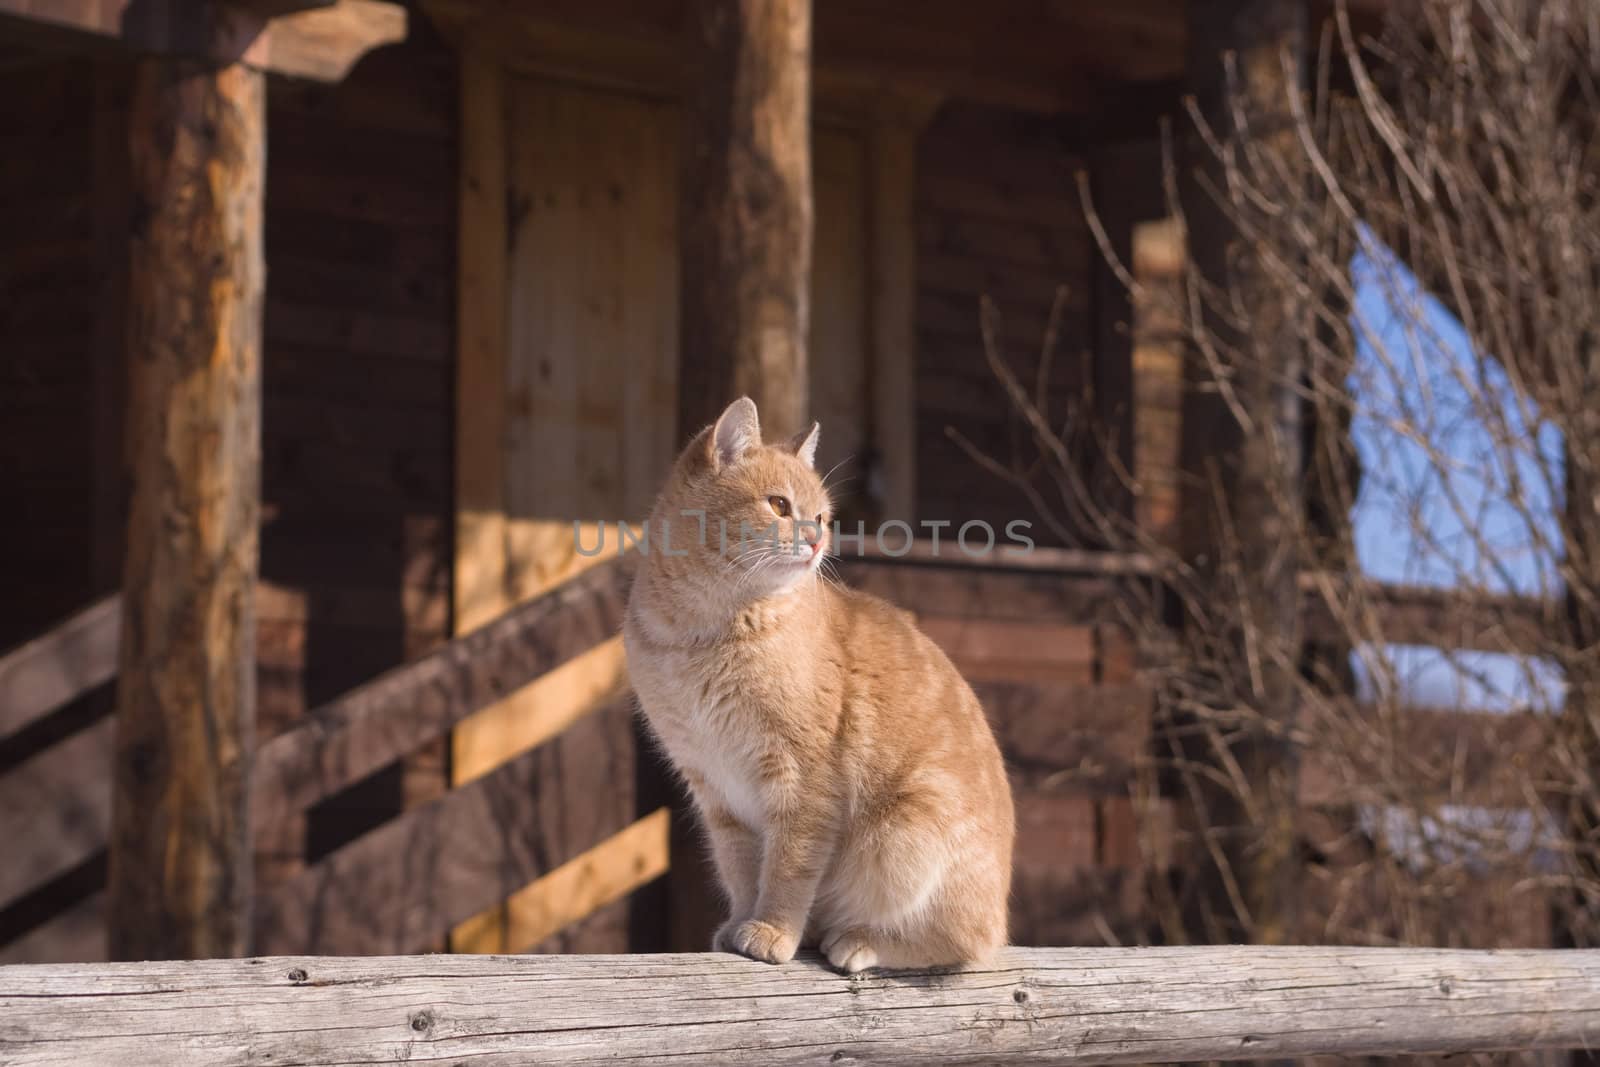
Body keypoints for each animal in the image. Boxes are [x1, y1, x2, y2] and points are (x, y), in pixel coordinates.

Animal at [624, 396, 1011, 972]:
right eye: (779, 505)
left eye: (823, 516)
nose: (816, 538)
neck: (701, 634)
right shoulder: (717, 791)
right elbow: (743, 871)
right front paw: (744, 924)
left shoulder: (803, 781)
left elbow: (789, 869)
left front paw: (772, 931)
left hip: (906, 834)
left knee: (967, 944)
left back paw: (856, 940)